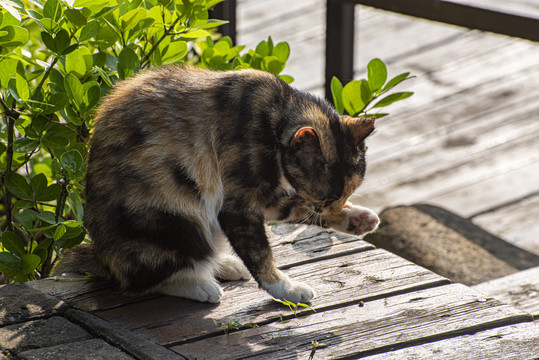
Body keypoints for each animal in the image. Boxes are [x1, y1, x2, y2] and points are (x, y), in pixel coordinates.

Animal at [56, 65, 380, 304]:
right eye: (323, 200)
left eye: (344, 196)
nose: (334, 209)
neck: (276, 115)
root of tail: (102, 257)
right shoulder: (238, 201)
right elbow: (260, 253)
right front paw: (285, 288)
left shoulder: (266, 197)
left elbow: (290, 208)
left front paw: (357, 218)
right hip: (174, 218)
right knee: (143, 279)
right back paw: (200, 285)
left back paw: (224, 264)